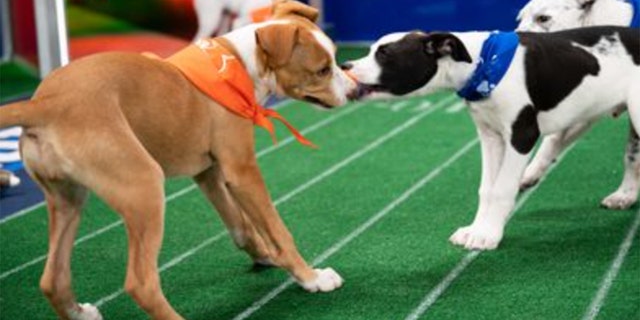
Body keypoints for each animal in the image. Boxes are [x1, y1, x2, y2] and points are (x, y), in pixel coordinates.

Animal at [0, 1, 358, 318]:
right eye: (322, 70)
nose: (355, 91)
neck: (241, 64)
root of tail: (45, 103)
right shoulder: (242, 170)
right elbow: (278, 229)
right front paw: (311, 277)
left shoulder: (209, 173)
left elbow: (241, 226)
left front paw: (266, 256)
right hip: (143, 186)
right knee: (141, 283)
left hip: (67, 200)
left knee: (52, 279)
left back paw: (80, 312)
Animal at [344, 26, 640, 250]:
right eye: (371, 50)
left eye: (385, 53)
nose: (345, 64)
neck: (483, 63)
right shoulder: (490, 136)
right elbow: (487, 188)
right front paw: (478, 228)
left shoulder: (521, 135)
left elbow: (501, 189)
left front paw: (488, 235)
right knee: (630, 156)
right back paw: (624, 195)